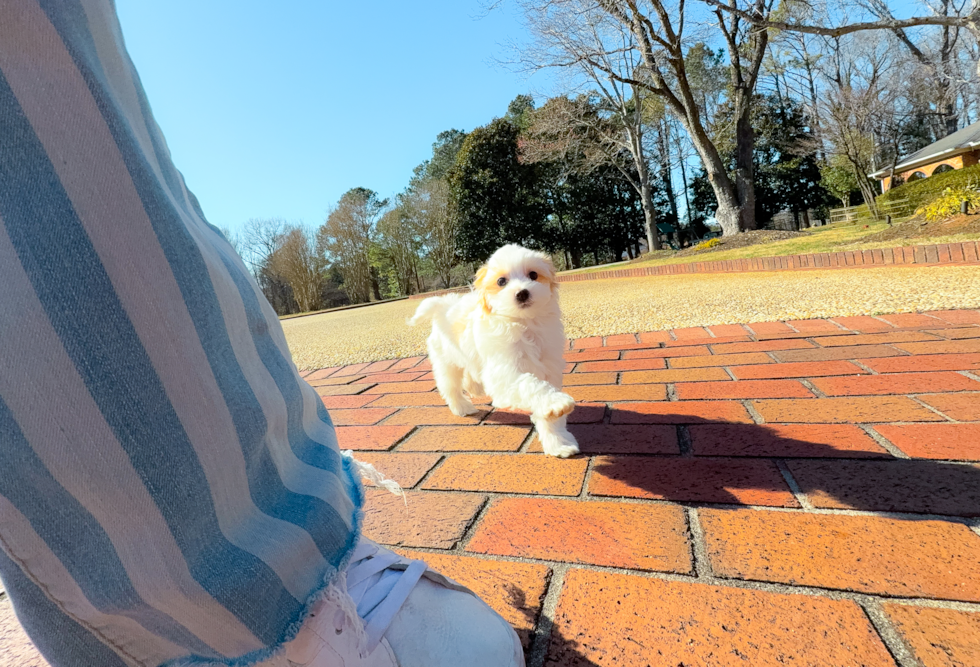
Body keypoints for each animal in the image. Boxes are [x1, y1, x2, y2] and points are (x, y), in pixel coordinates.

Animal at [408, 245, 580, 460]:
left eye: (533, 275)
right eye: (501, 281)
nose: (522, 293)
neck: (522, 322)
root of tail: (443, 306)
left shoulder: (549, 367)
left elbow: (547, 409)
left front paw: (559, 442)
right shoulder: (504, 371)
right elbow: (530, 384)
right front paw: (557, 403)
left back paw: (474, 388)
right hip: (447, 362)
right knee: (451, 386)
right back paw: (462, 407)